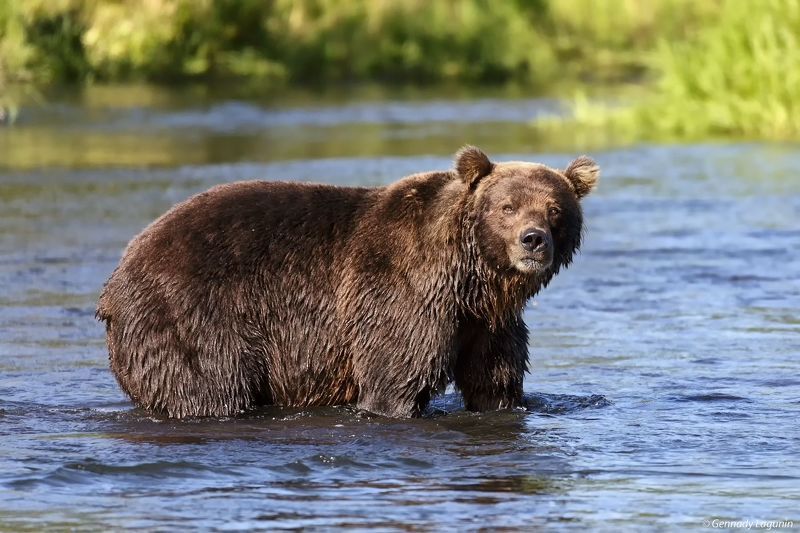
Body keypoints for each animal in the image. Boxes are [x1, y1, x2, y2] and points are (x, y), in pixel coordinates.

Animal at [96, 146, 599, 419]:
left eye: (555, 209)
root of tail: (114, 281)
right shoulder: (401, 295)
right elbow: (395, 376)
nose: (533, 240)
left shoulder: (487, 323)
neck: (469, 278)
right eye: (507, 207)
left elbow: (495, 381)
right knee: (207, 388)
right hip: (192, 316)